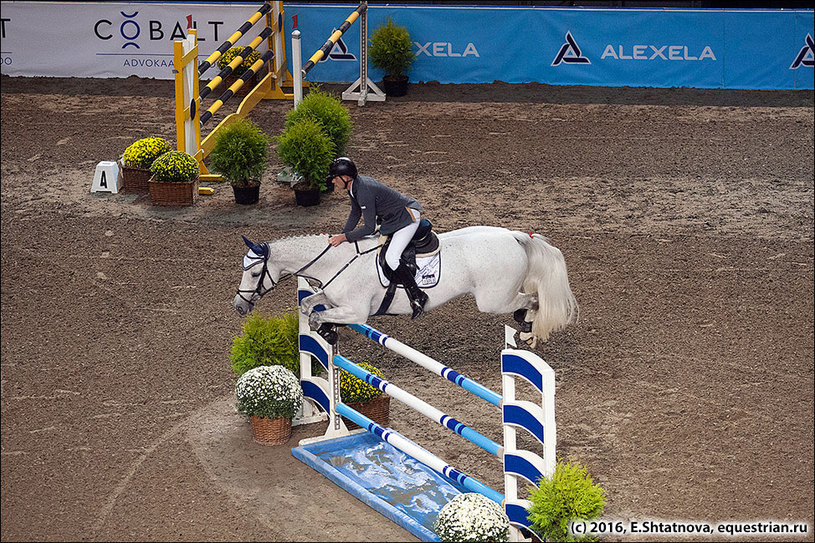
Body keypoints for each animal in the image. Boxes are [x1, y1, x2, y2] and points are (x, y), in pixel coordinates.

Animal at [233, 226, 576, 346]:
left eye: (254, 273)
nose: (239, 306)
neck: (336, 262)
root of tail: (515, 236)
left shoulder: (356, 312)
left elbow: (317, 315)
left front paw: (327, 332)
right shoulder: (332, 298)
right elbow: (309, 305)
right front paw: (326, 331)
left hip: (494, 299)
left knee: (532, 300)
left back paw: (529, 331)